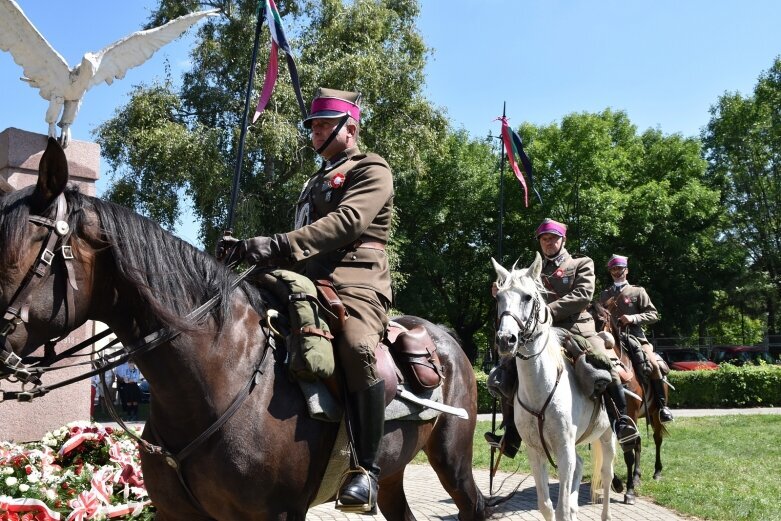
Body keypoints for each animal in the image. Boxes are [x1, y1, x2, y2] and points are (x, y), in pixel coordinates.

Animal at [0, 138, 488, 520]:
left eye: (17, 254)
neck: (217, 377)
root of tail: (444, 337)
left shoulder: (277, 514)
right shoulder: (179, 514)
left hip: (452, 462)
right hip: (393, 474)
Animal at [494, 254, 616, 520]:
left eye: (527, 297)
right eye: (498, 297)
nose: (505, 340)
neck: (540, 389)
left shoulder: (563, 449)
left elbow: (561, 508)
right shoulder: (535, 451)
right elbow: (547, 506)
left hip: (608, 436)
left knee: (606, 474)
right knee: (580, 467)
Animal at [588, 300, 668, 504]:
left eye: (600, 320)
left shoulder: (627, 415)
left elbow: (628, 454)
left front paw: (629, 490)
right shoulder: (614, 419)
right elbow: (613, 451)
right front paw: (617, 483)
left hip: (654, 413)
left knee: (657, 438)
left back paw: (657, 472)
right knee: (638, 443)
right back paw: (638, 476)